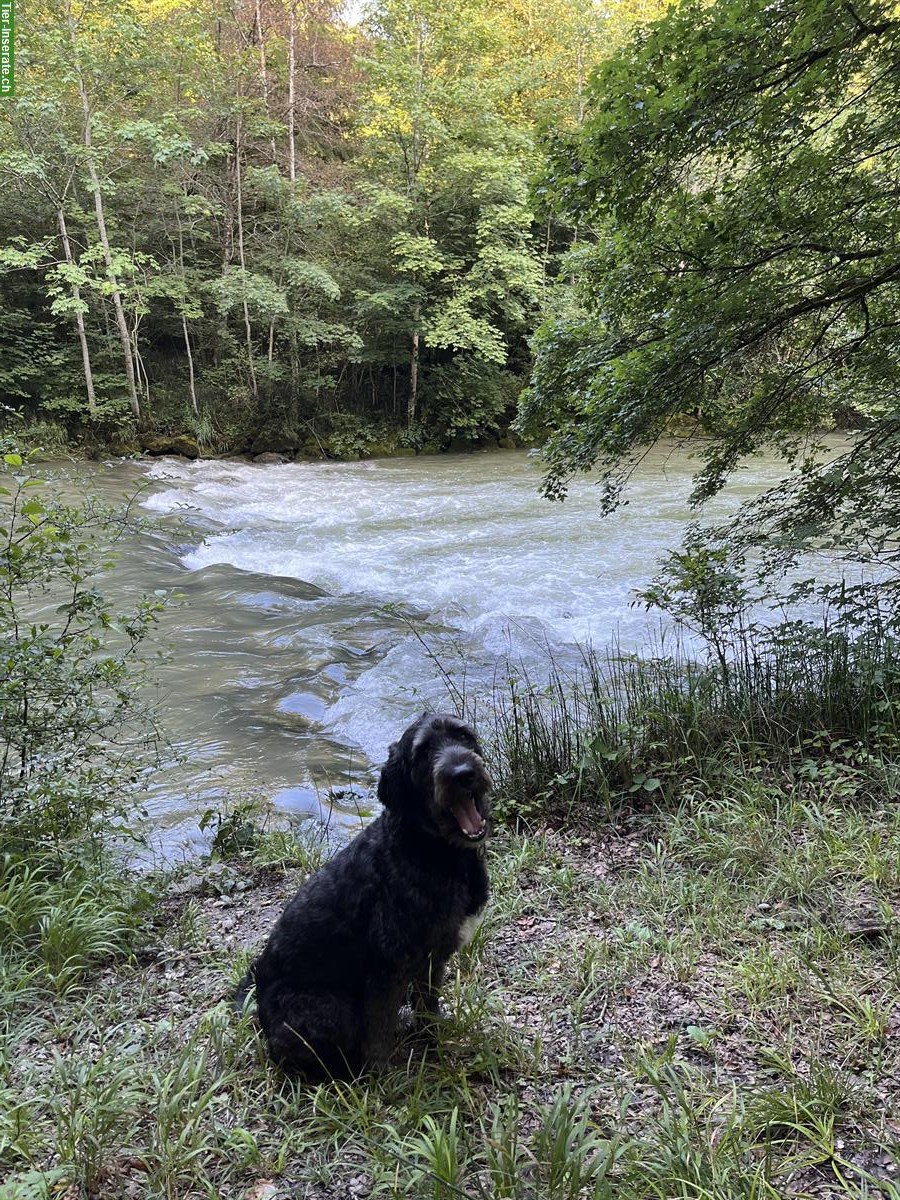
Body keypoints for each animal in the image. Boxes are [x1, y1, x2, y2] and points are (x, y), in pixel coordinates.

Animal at [236, 710, 494, 1080]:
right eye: (423, 752)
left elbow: (427, 1007)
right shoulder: (387, 970)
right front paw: (385, 1080)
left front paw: (432, 1043)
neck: (431, 848)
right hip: (329, 1008)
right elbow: (377, 1035)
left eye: (464, 736)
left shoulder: (432, 962)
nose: (464, 774)